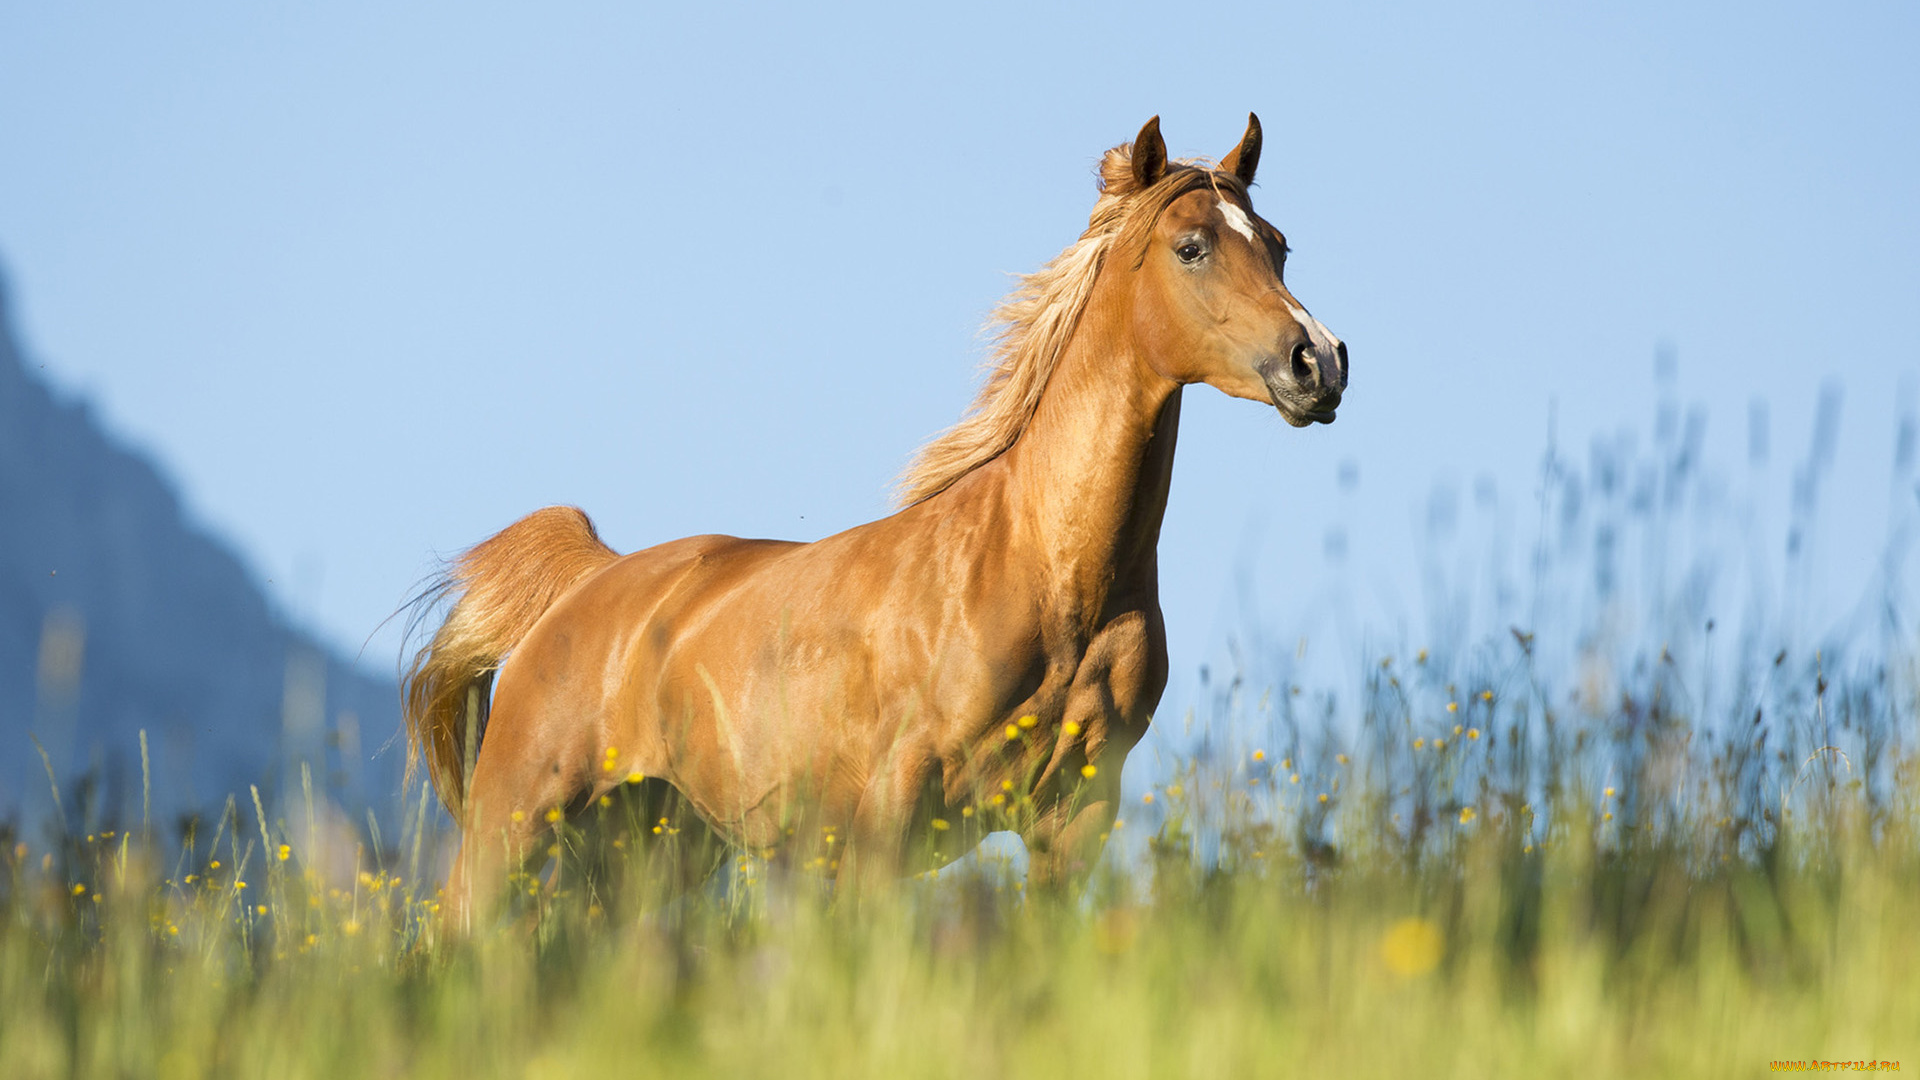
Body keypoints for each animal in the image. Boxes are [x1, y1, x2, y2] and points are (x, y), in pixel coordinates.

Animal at [401, 117, 1351, 926]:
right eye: (1192, 247)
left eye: (1277, 244)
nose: (1319, 362)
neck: (1046, 575)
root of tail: (588, 582)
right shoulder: (891, 817)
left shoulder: (1072, 821)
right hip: (510, 834)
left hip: (649, 850)